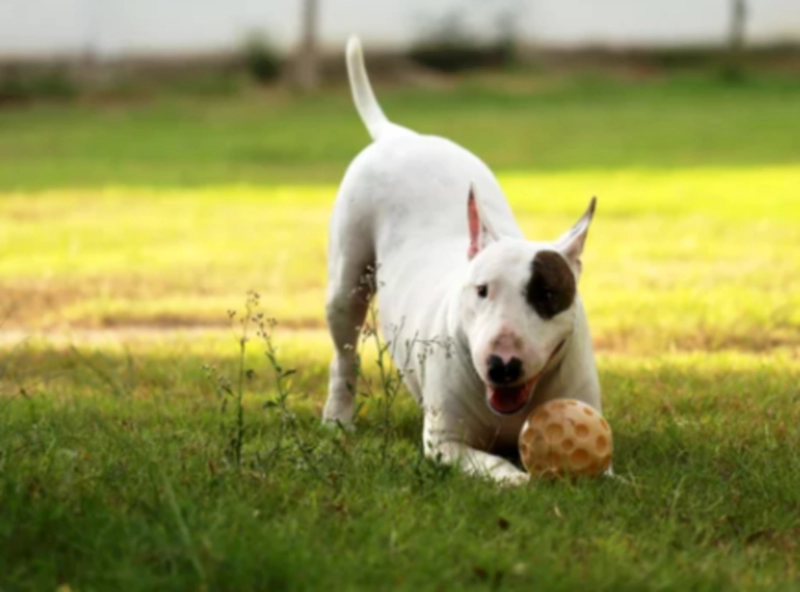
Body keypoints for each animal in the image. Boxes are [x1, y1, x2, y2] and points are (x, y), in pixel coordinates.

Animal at [322, 37, 604, 484]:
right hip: (346, 280)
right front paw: (517, 480)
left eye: (546, 293)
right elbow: (491, 462)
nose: (502, 365)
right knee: (344, 353)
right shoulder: (446, 443)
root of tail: (398, 136)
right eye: (482, 290)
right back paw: (337, 419)